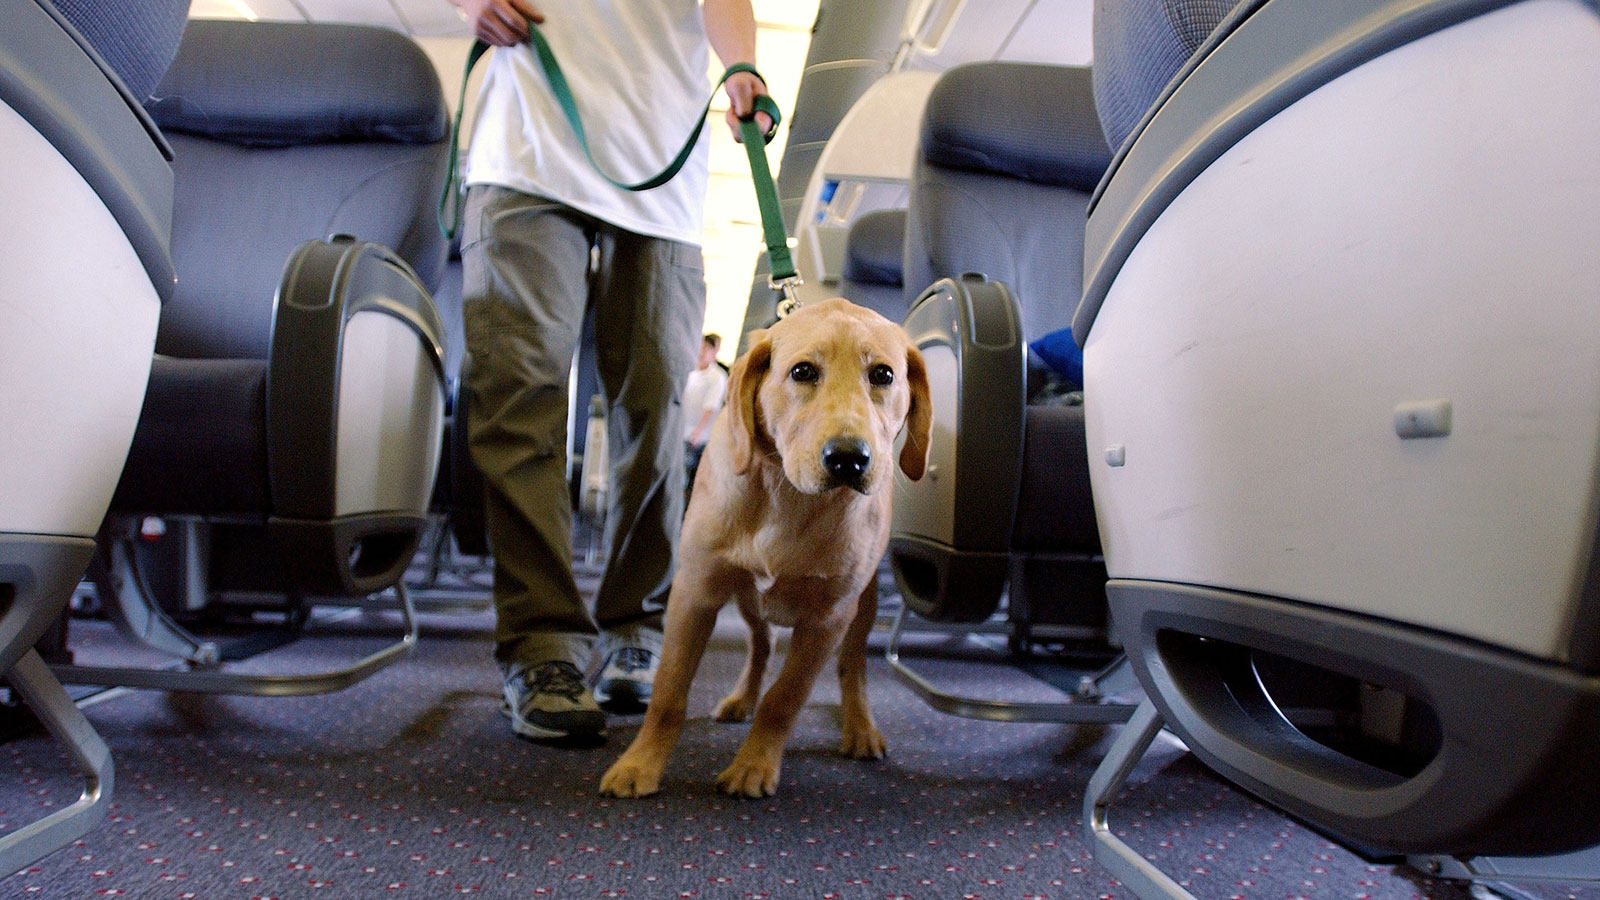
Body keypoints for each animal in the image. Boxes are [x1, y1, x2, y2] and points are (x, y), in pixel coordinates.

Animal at [601, 297, 934, 794]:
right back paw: (742, 698)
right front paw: (640, 764)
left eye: (883, 375)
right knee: (761, 647)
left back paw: (860, 727)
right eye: (802, 371)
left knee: (852, 668)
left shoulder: (828, 619)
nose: (848, 460)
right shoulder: (695, 592)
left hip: (864, 605)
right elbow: (669, 692)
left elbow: (785, 699)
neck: (786, 496)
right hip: (748, 601)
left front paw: (754, 765)